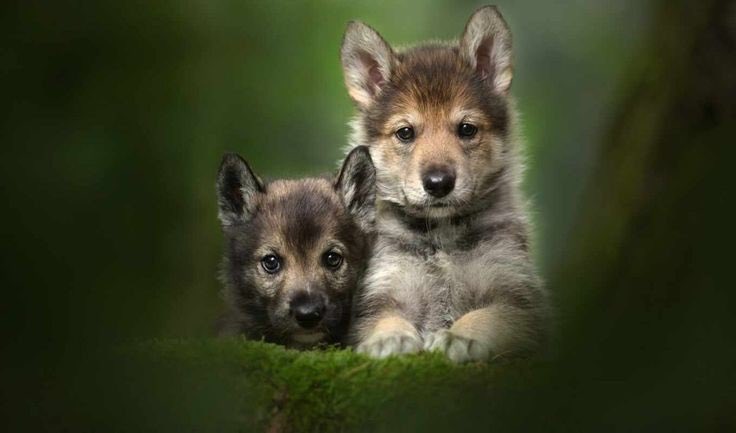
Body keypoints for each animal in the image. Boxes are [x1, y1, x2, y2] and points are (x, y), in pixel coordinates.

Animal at [340, 6, 548, 362]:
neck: (441, 236)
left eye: (466, 129)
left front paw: (459, 336)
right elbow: (386, 318)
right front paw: (389, 338)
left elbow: (487, 315)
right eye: (405, 133)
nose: (438, 183)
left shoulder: (515, 295)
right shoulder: (381, 291)